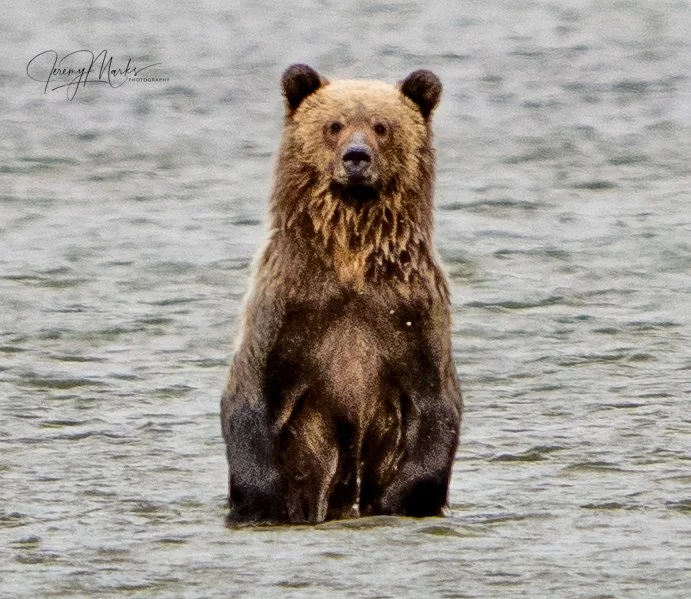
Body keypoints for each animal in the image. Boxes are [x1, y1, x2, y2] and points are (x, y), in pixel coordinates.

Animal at [220, 64, 462, 525]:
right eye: (334, 124)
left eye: (381, 126)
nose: (356, 156)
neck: (351, 252)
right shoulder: (289, 311)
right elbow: (250, 402)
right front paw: (266, 502)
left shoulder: (410, 313)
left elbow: (435, 409)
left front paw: (397, 501)